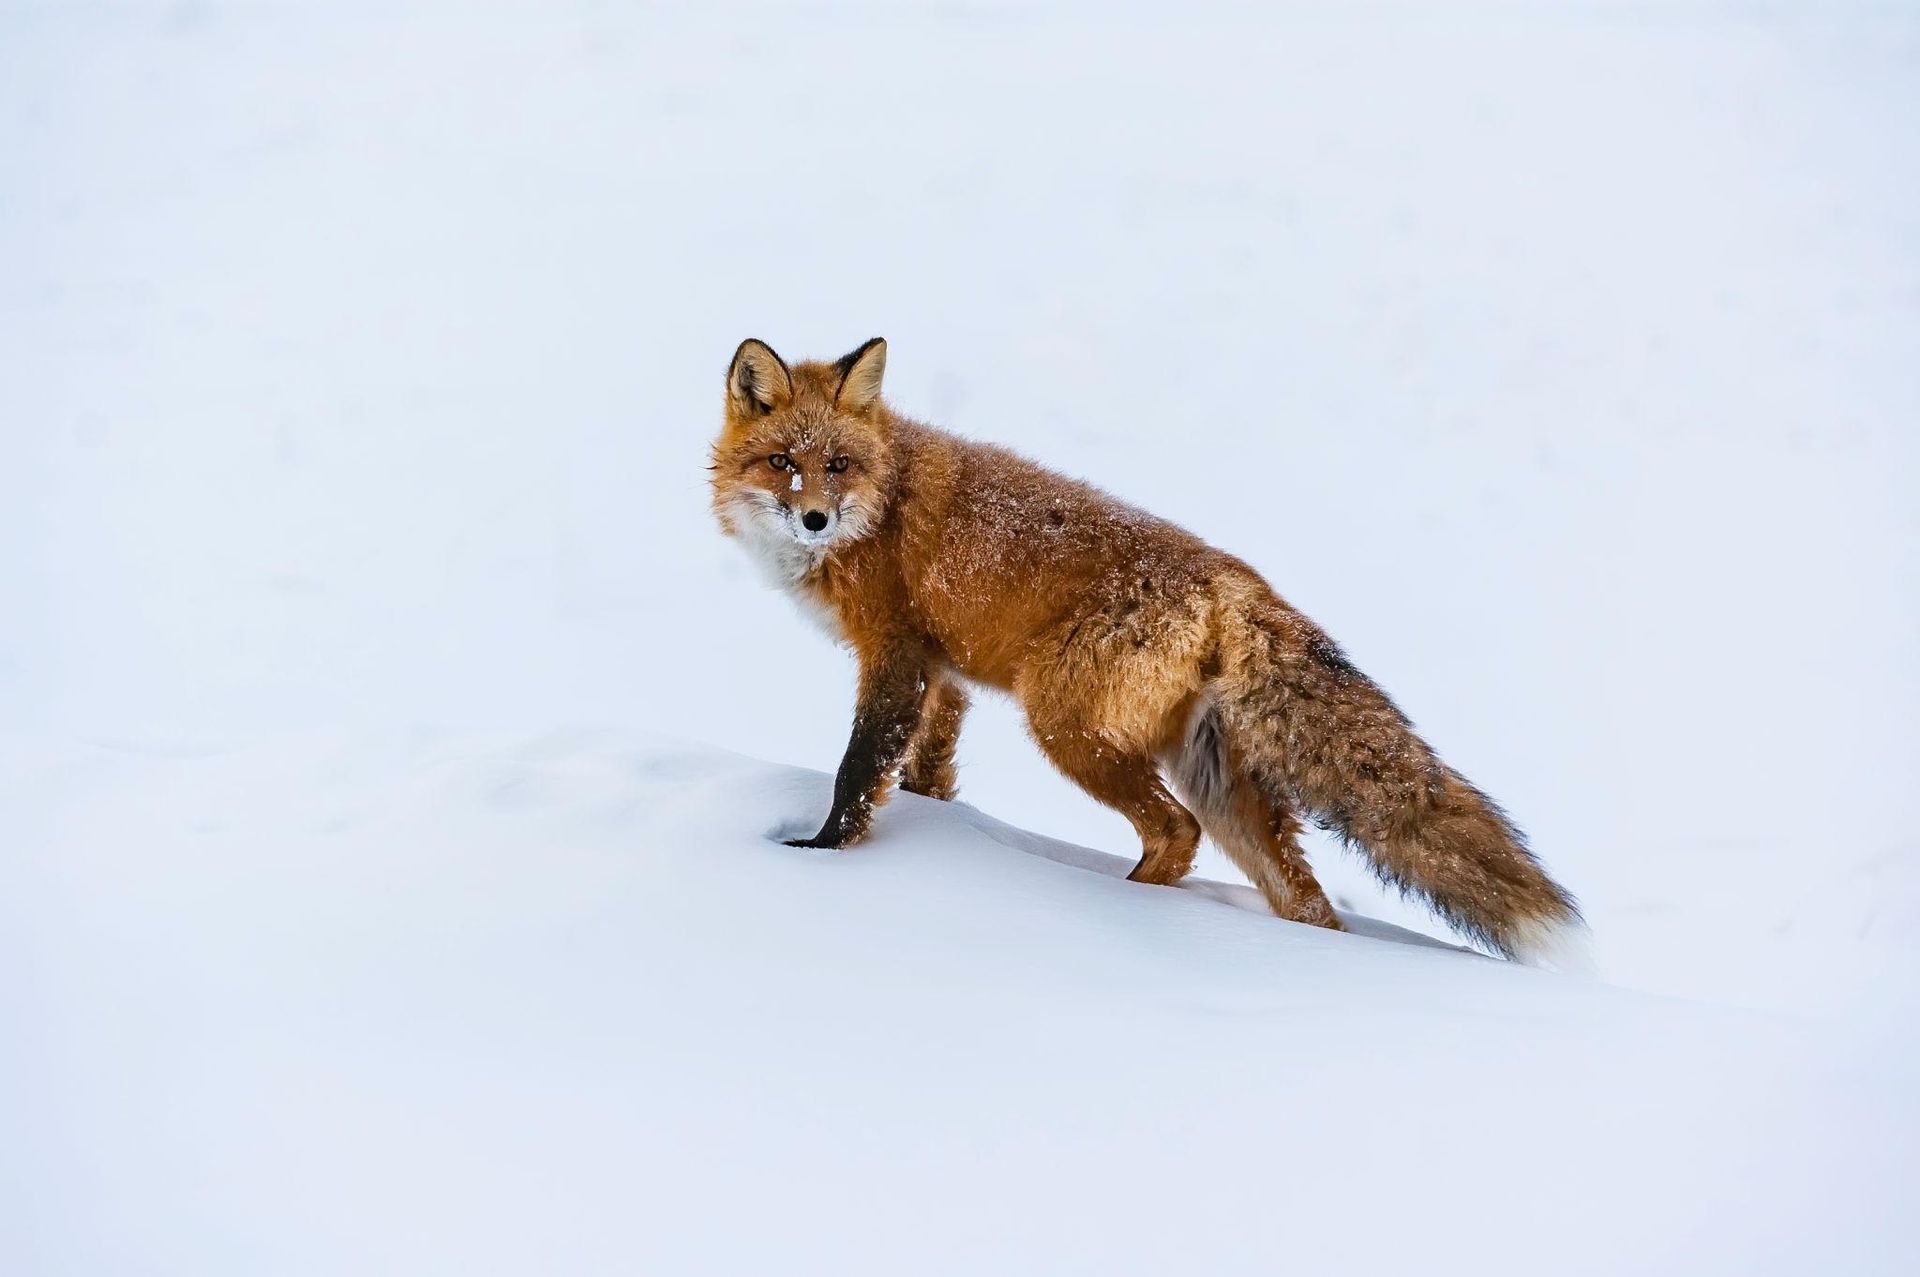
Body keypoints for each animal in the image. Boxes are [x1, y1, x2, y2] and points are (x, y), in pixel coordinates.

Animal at [710, 336, 1589, 968]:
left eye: (838, 464)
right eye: (783, 462)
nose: (815, 519)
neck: (881, 505)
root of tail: (1237, 581)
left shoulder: (894, 655)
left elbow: (858, 770)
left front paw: (820, 855)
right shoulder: (943, 672)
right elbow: (931, 770)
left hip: (1067, 727)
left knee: (1174, 832)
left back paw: (1129, 906)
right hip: (1215, 780)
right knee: (1304, 900)